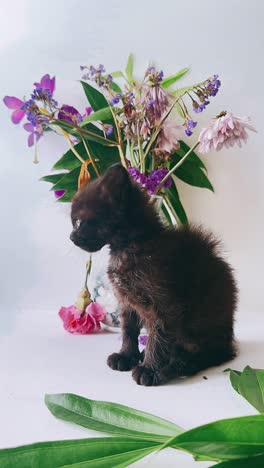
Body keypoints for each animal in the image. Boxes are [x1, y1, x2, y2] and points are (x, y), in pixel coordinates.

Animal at [71, 166, 238, 386]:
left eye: (78, 221)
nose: (71, 237)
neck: (129, 246)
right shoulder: (127, 302)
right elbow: (129, 330)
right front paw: (126, 356)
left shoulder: (164, 305)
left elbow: (157, 337)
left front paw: (149, 369)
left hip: (202, 329)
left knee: (212, 353)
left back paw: (180, 364)